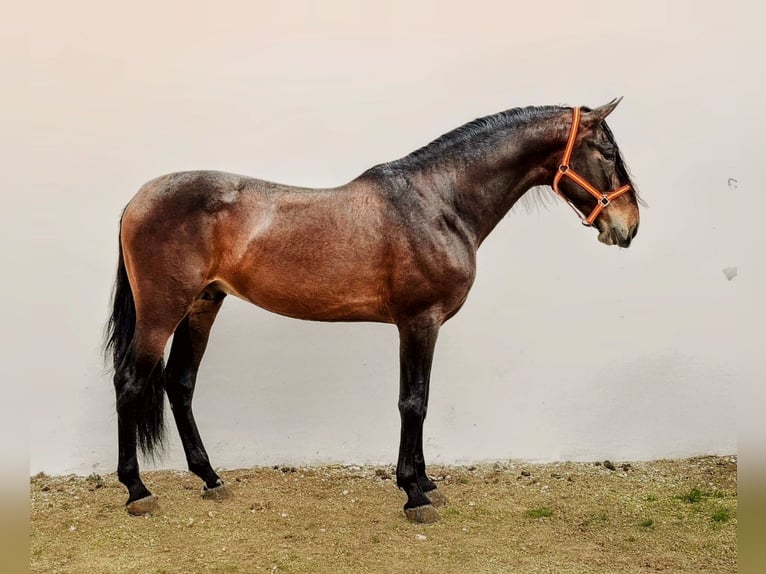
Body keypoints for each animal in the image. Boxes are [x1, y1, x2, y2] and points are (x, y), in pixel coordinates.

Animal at [105, 99, 640, 523]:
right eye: (608, 153)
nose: (629, 226)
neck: (437, 203)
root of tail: (136, 200)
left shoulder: (423, 325)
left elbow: (422, 399)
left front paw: (425, 483)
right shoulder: (418, 321)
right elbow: (413, 402)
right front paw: (413, 494)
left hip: (203, 305)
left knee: (179, 383)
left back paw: (211, 478)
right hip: (162, 311)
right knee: (131, 381)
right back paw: (137, 490)